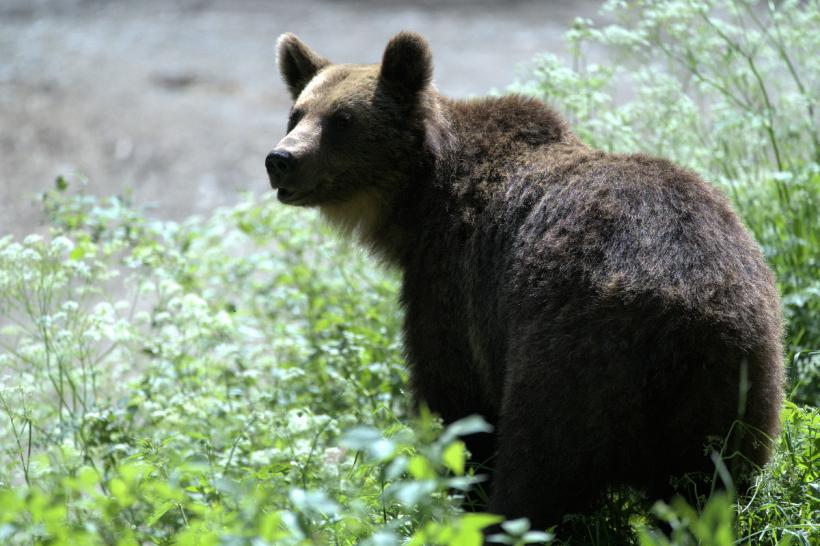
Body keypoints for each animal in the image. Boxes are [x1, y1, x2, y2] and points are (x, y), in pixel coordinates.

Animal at [266, 31, 784, 528]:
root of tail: (680, 306)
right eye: (297, 113)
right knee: (708, 488)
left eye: (342, 120)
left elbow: (457, 405)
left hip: (569, 353)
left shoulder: (453, 286)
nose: (281, 159)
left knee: (538, 466)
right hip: (734, 380)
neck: (422, 200)